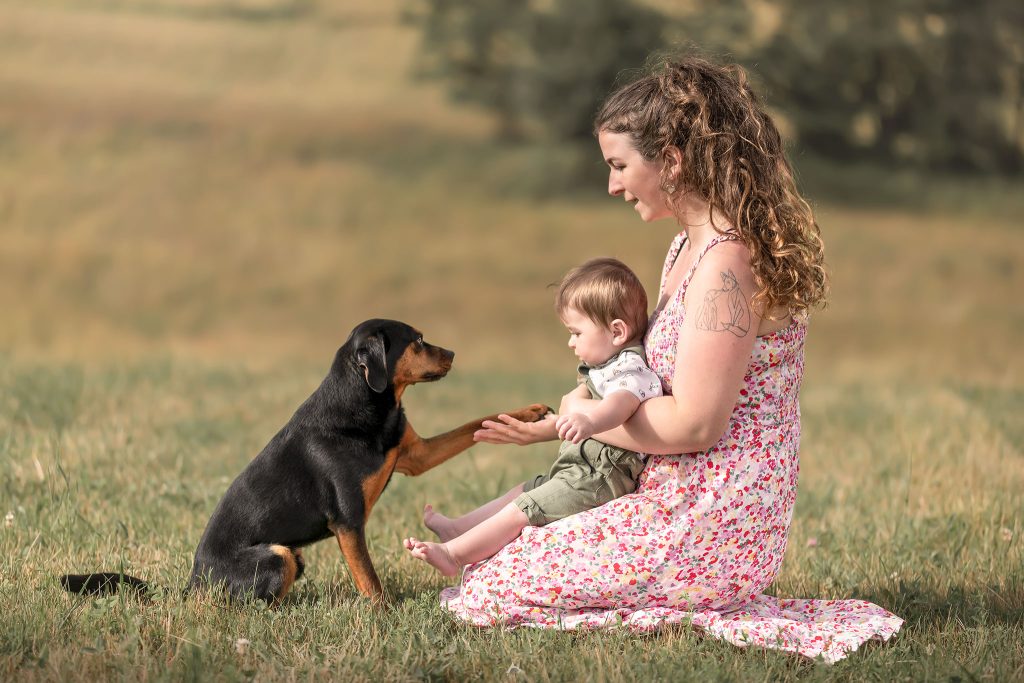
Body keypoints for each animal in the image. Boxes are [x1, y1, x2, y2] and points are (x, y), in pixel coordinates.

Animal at [59, 321, 548, 602]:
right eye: (419, 342)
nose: (454, 355)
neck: (367, 404)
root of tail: (192, 584)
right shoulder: (348, 522)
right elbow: (370, 582)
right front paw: (386, 617)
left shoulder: (416, 454)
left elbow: (475, 423)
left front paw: (526, 415)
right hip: (276, 555)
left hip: (291, 555)